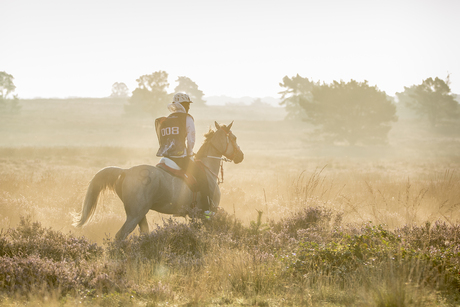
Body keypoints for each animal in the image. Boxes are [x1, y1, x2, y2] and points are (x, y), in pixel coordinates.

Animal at [72, 122, 244, 241]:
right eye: (234, 138)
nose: (240, 156)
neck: (207, 168)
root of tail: (126, 171)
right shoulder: (208, 213)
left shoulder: (195, 216)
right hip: (134, 215)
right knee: (119, 236)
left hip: (140, 215)